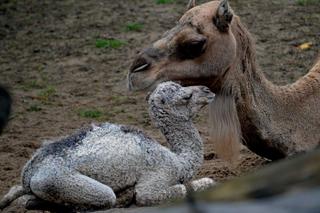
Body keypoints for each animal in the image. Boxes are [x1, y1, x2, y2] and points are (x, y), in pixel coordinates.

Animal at [0, 81, 215, 211]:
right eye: (186, 97)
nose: (209, 91)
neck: (179, 161)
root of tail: (28, 174)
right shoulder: (159, 173)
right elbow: (152, 194)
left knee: (16, 192)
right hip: (54, 179)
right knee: (105, 197)